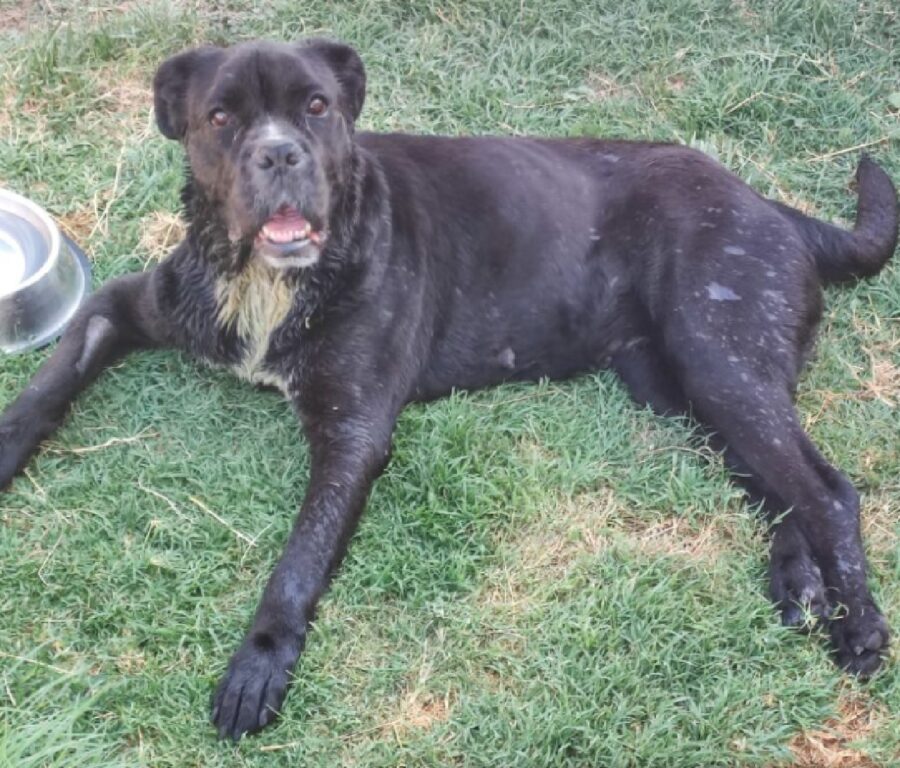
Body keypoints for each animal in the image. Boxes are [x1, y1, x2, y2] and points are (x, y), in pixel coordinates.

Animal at [1, 39, 900, 740]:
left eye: (317, 107)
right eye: (221, 117)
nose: (280, 154)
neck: (269, 279)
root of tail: (773, 206)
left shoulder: (353, 431)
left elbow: (296, 562)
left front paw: (258, 665)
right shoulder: (125, 306)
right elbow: (51, 379)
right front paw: (7, 447)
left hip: (717, 357)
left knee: (826, 489)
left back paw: (859, 628)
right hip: (684, 385)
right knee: (777, 481)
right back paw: (798, 582)